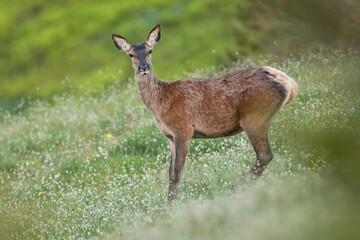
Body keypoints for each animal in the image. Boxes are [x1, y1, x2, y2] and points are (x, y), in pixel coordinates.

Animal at [111, 24, 296, 201]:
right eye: (131, 54)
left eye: (150, 51)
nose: (144, 67)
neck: (160, 105)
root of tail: (288, 82)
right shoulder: (170, 136)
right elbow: (170, 173)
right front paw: (168, 202)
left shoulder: (183, 128)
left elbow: (178, 171)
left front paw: (172, 204)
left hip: (254, 116)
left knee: (264, 155)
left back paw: (233, 189)